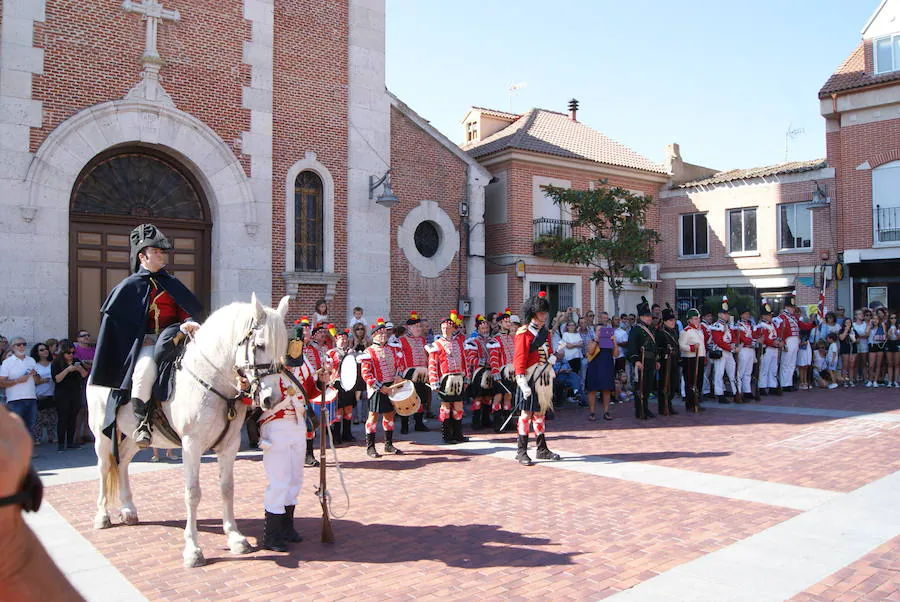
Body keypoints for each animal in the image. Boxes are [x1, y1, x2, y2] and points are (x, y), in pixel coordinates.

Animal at [88, 292, 288, 564]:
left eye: (283, 348)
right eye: (259, 345)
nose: (272, 399)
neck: (213, 381)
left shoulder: (229, 445)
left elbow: (227, 488)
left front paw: (235, 538)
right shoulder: (191, 445)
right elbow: (192, 493)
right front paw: (193, 549)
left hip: (133, 436)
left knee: (123, 463)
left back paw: (129, 510)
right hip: (102, 434)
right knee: (103, 467)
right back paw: (102, 515)